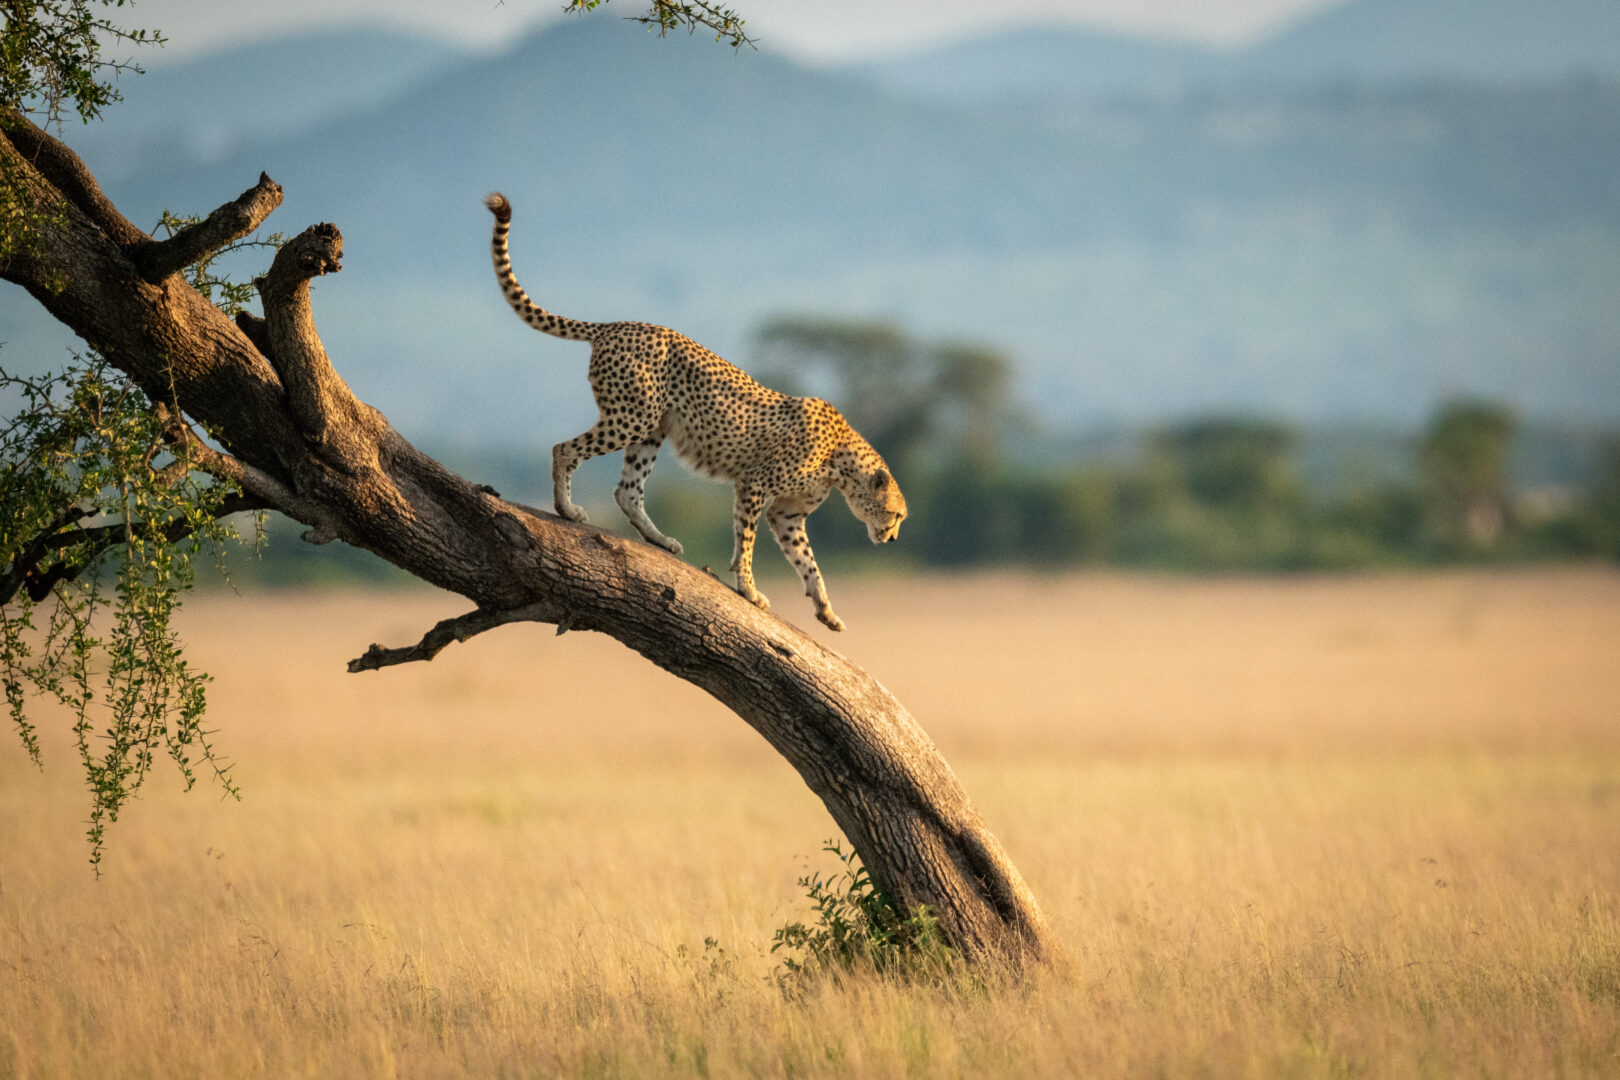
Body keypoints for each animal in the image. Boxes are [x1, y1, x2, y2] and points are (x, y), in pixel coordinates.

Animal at [484, 192, 906, 632]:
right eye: (895, 515)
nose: (891, 538)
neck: (841, 460)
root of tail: (618, 325)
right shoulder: (754, 483)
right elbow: (747, 541)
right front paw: (748, 589)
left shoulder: (788, 513)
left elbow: (807, 561)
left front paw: (825, 609)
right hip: (631, 418)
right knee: (564, 449)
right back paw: (566, 509)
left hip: (651, 428)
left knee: (627, 490)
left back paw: (659, 540)